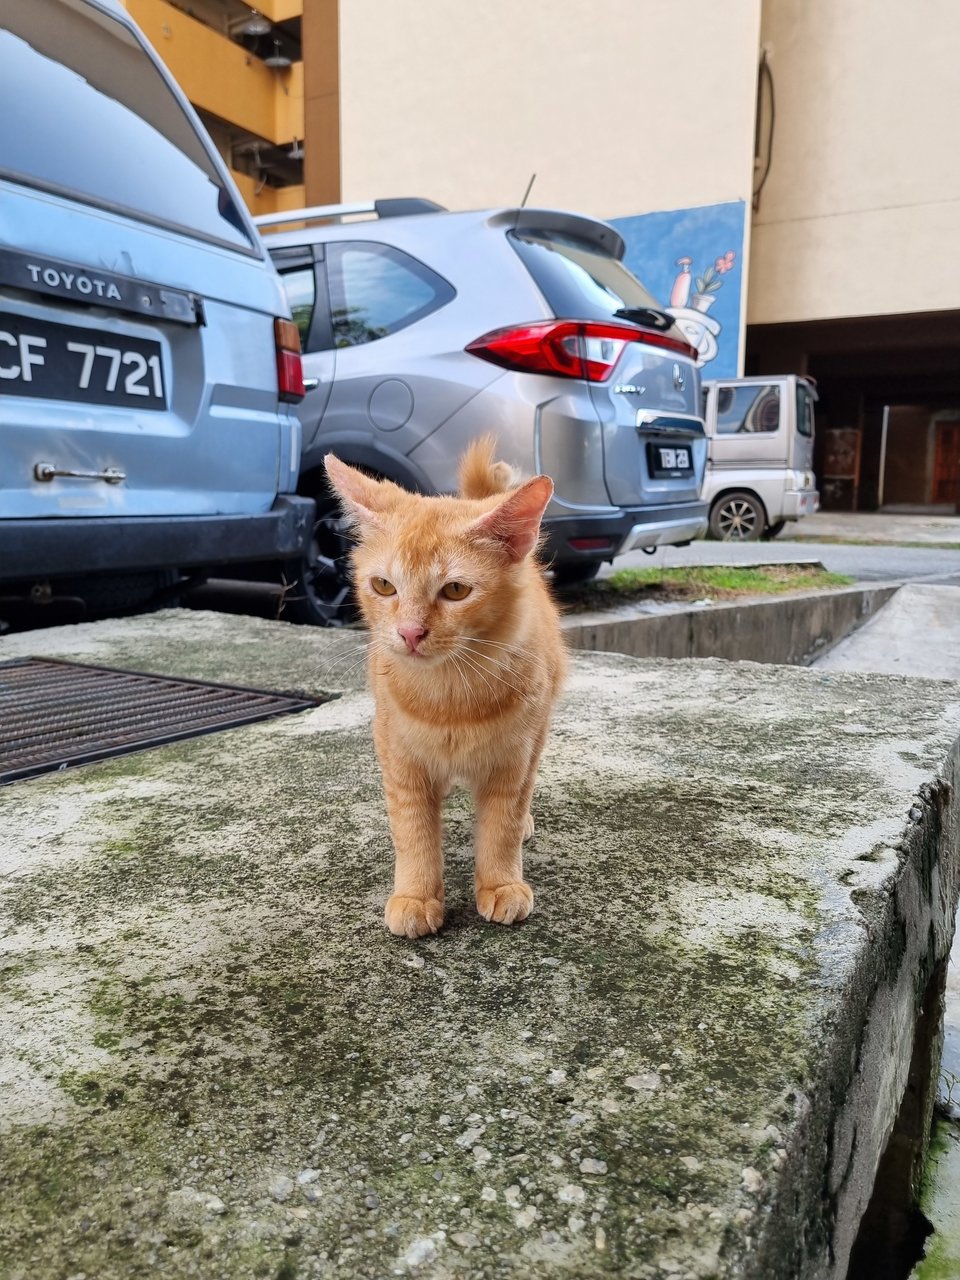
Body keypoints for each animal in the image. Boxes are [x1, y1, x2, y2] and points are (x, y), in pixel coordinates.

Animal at [325, 442, 563, 942]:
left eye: (455, 590)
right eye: (383, 585)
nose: (410, 633)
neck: (449, 698)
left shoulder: (514, 758)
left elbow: (501, 827)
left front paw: (501, 883)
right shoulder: (398, 757)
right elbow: (413, 830)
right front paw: (416, 895)